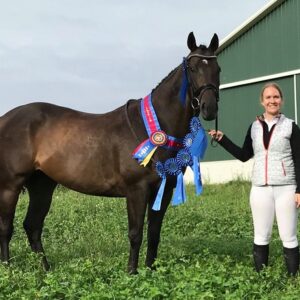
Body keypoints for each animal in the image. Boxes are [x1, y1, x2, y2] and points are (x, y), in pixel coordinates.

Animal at [0, 31, 220, 274]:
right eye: (193, 68)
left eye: (218, 69)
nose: (209, 108)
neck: (153, 127)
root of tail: (5, 118)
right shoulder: (136, 190)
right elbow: (136, 234)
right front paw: (132, 273)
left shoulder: (164, 190)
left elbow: (154, 234)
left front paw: (151, 271)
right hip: (10, 185)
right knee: (6, 228)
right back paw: (8, 269)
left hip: (42, 185)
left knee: (32, 226)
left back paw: (46, 270)